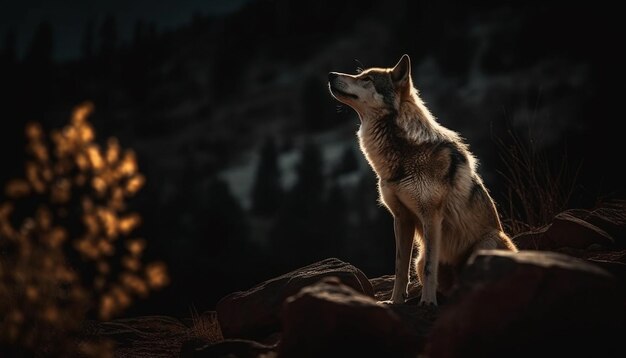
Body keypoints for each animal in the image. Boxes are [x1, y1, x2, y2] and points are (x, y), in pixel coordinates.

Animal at [326, 55, 516, 304]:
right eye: (361, 75)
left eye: (367, 78)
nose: (330, 74)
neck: (402, 155)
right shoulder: (401, 218)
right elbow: (399, 267)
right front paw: (395, 301)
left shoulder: (431, 215)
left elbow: (429, 268)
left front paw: (427, 303)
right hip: (422, 255)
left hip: (487, 243)